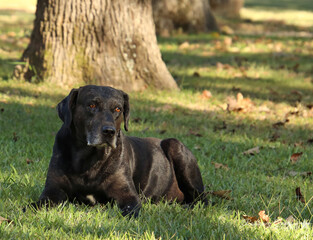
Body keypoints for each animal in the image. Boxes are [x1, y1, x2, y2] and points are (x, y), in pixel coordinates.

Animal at [29, 85, 207, 217]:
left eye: (117, 109)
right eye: (92, 105)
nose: (109, 132)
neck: (88, 158)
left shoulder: (128, 196)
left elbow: (129, 210)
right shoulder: (52, 191)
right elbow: (34, 205)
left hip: (175, 146)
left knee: (202, 199)